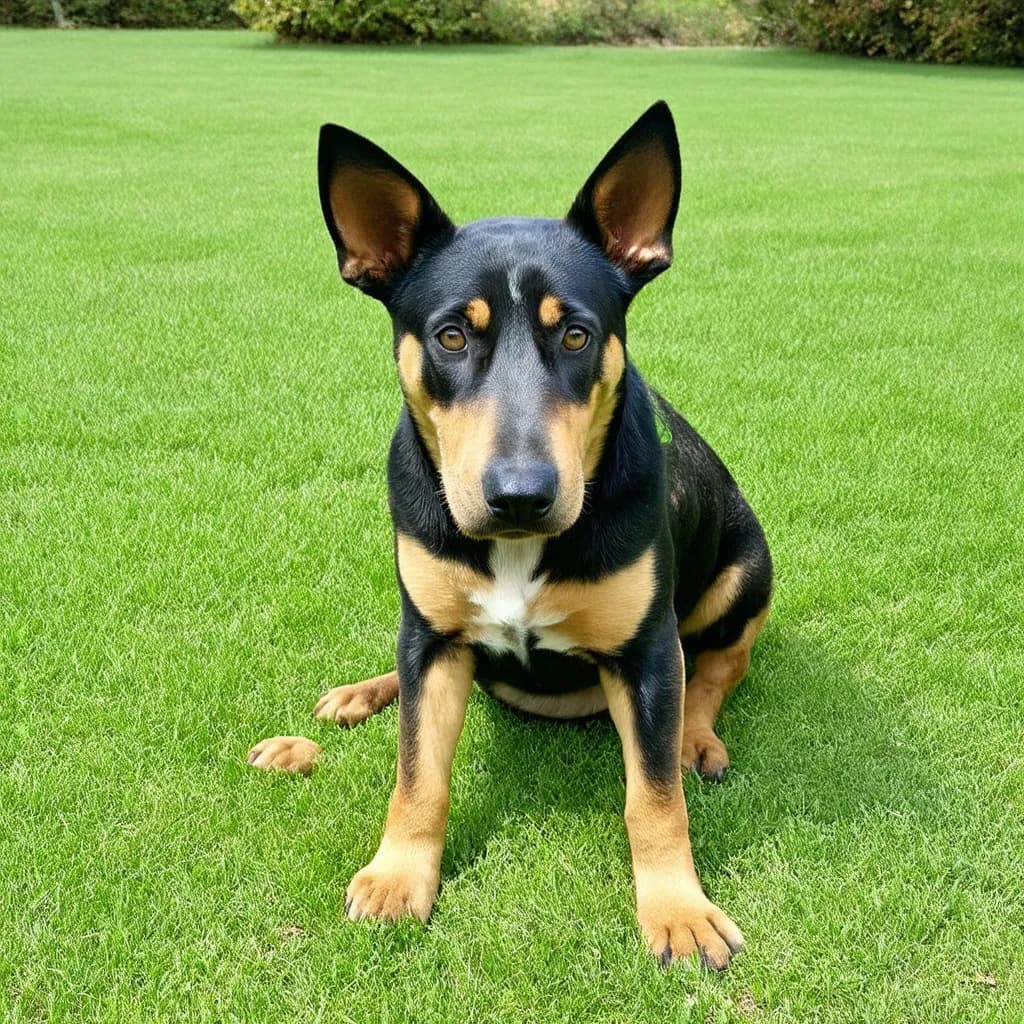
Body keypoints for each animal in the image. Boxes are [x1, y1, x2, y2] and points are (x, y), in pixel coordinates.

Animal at [247, 99, 770, 970]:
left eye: (577, 335)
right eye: (453, 336)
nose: (520, 496)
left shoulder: (646, 651)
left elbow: (653, 797)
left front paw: (678, 909)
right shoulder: (431, 638)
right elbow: (418, 774)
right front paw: (399, 875)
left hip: (746, 566)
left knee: (718, 666)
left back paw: (697, 736)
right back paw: (359, 694)